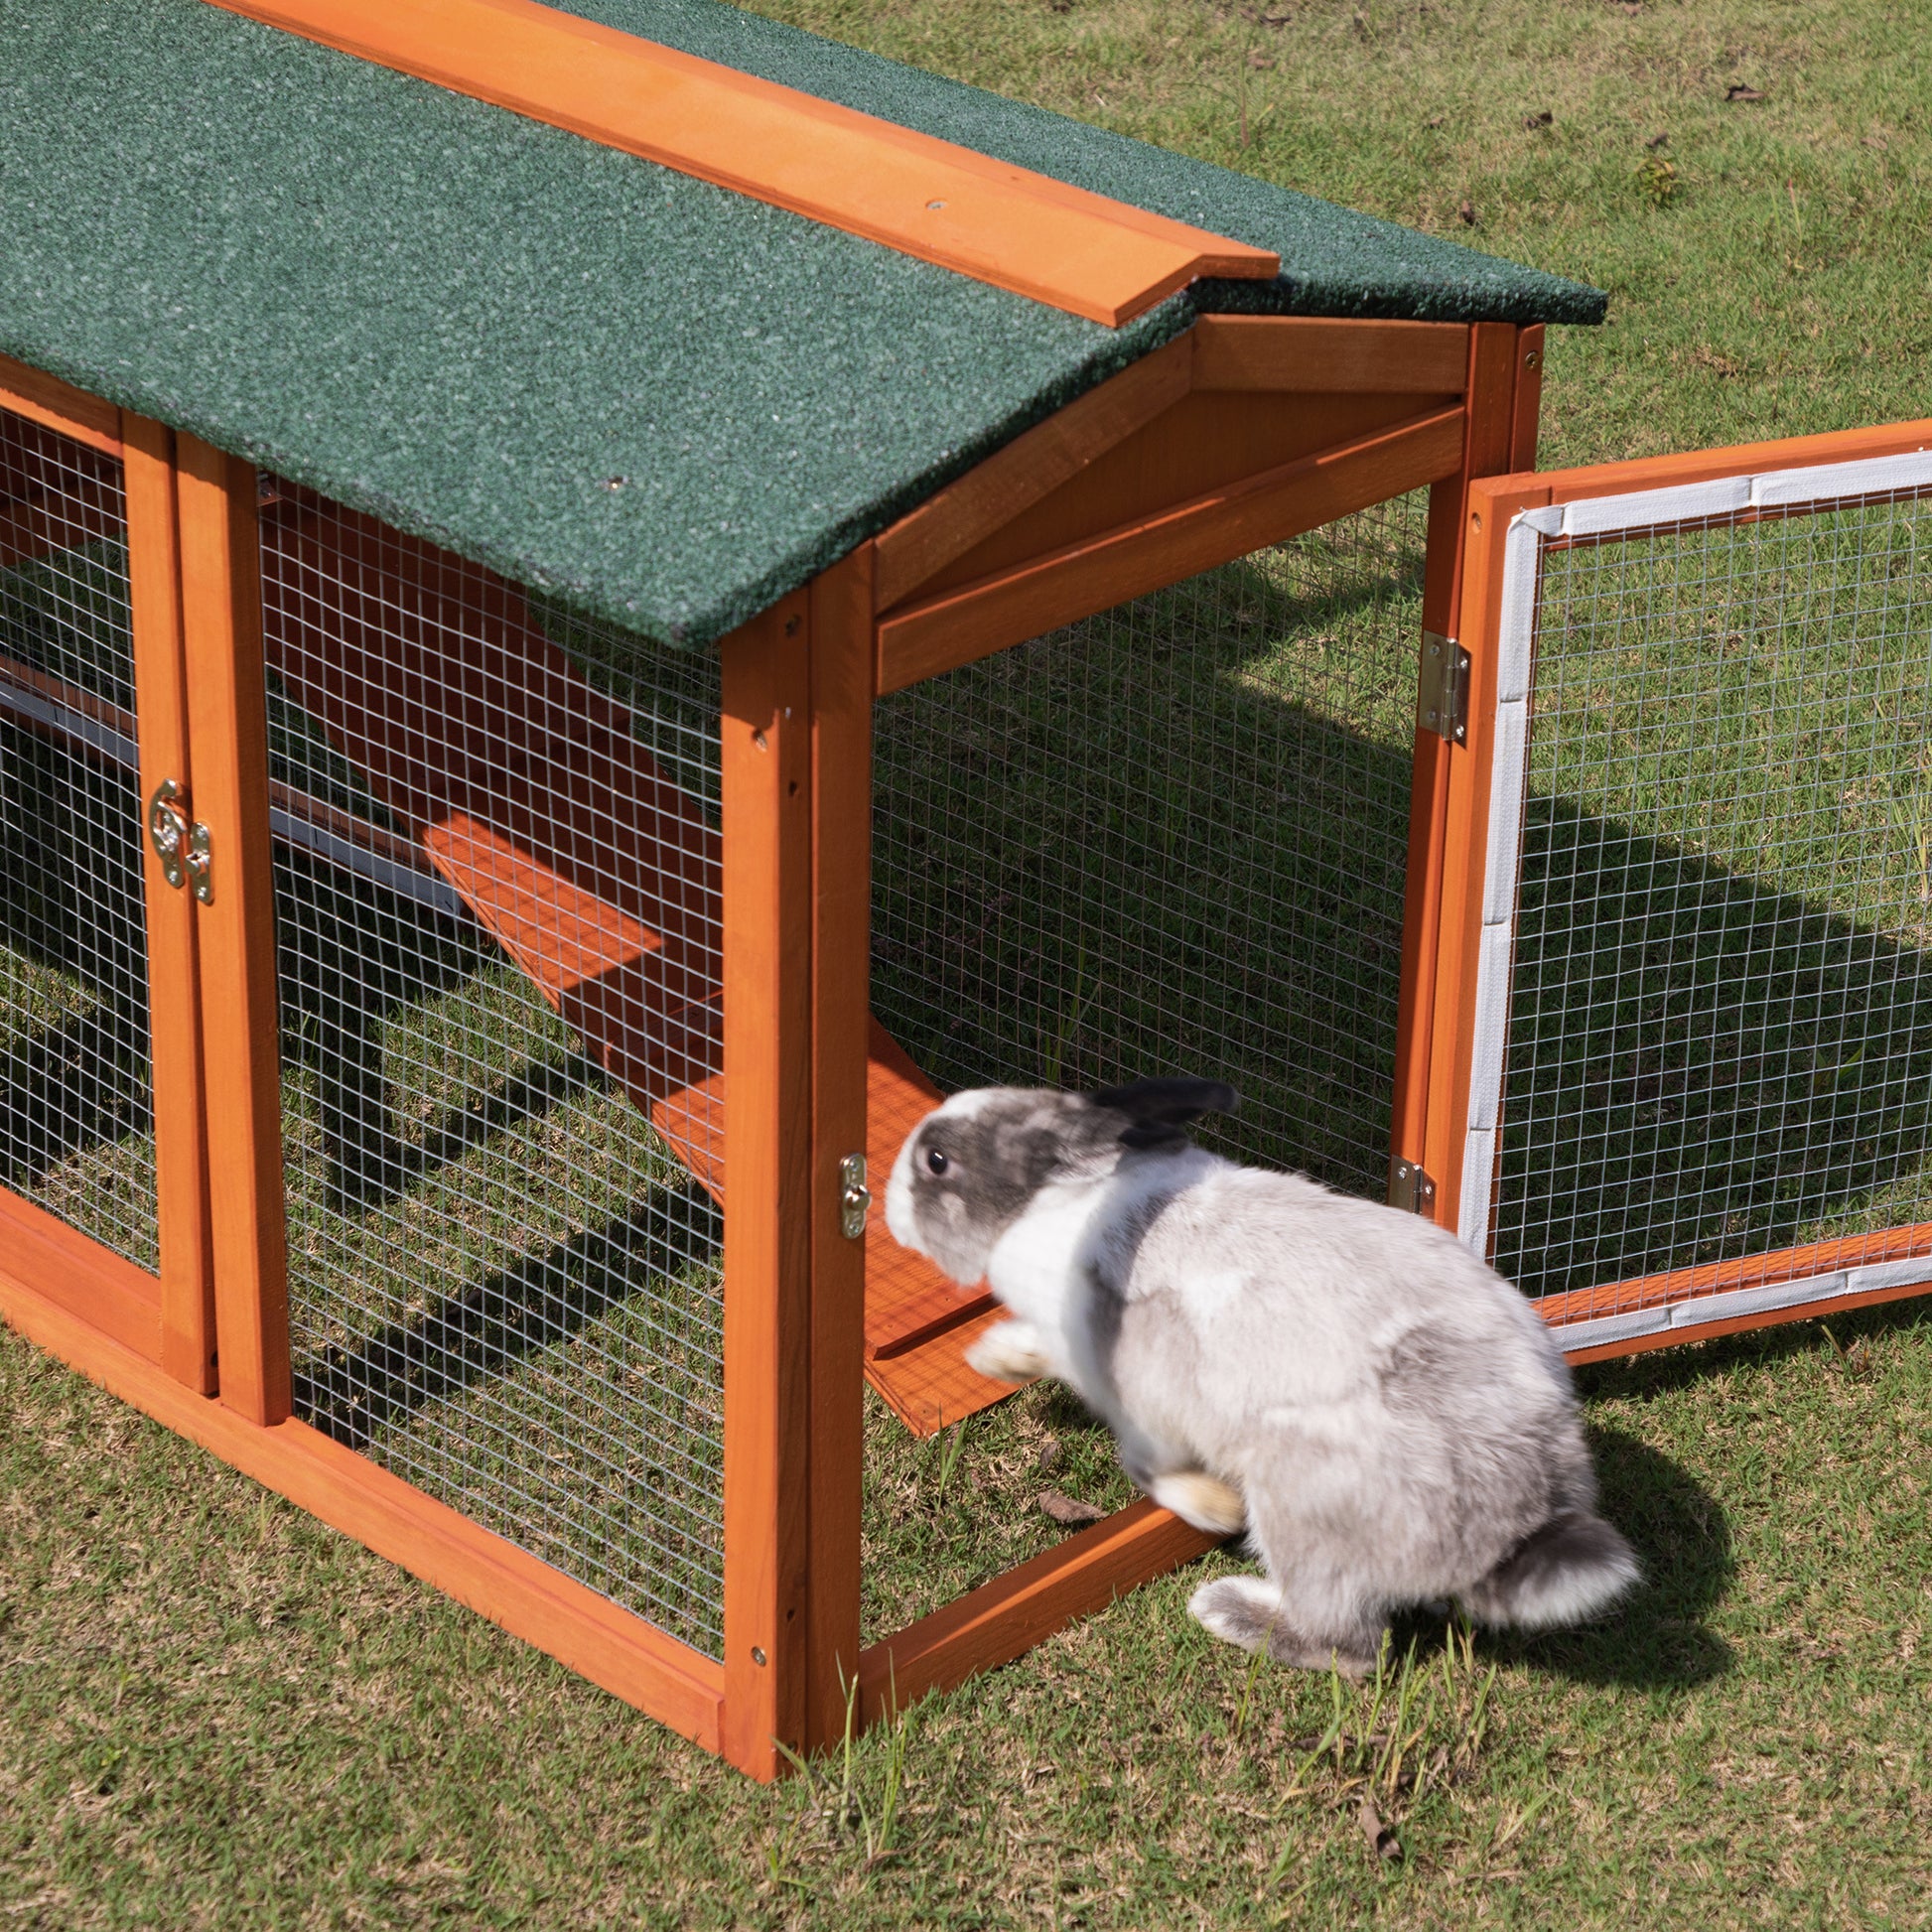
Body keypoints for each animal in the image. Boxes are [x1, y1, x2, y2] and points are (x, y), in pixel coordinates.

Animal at [885, 1081, 1638, 1684]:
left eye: (938, 1162)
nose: (885, 1204)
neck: (1051, 1206)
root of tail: (1524, 1520)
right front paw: (992, 1359)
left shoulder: (1144, 1400)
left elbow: (1146, 1464)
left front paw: (1213, 1508)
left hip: (1303, 1513)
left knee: (1353, 1648)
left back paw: (1225, 1608)